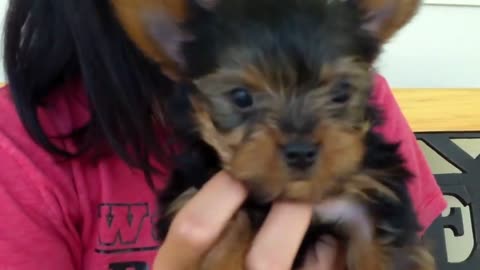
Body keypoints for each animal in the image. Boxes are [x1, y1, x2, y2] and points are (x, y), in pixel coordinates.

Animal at [128, 0, 438, 268]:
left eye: (341, 91)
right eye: (241, 97)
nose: (301, 152)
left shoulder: (371, 204)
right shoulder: (191, 196)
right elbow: (229, 228)